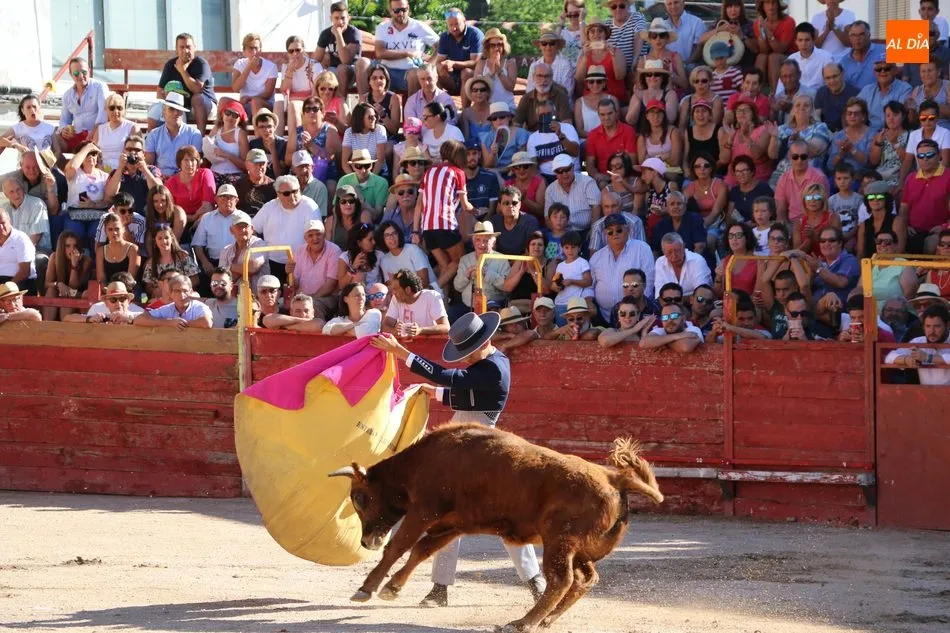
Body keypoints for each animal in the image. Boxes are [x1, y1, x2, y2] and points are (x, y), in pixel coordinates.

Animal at [328, 422, 664, 632]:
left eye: (359, 497)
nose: (366, 541)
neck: (425, 460)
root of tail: (614, 477)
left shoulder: (424, 512)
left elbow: (398, 547)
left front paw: (366, 589)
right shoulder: (452, 525)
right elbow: (421, 551)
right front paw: (392, 588)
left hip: (559, 542)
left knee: (561, 580)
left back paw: (522, 623)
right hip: (579, 549)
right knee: (585, 579)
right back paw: (545, 621)